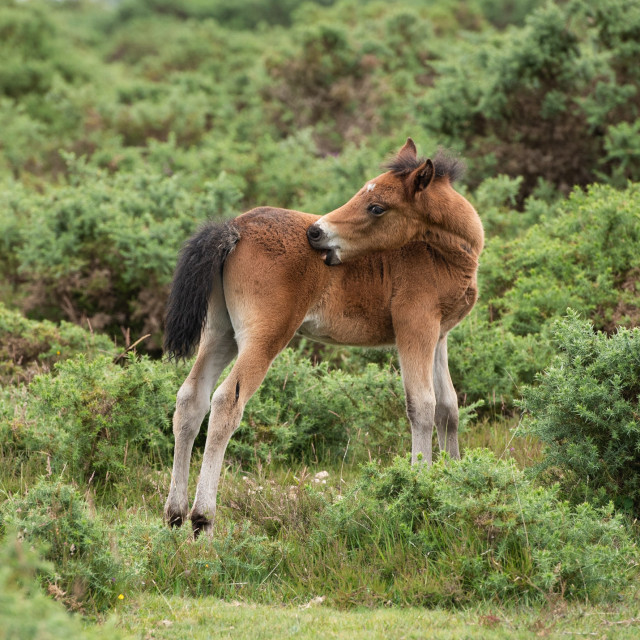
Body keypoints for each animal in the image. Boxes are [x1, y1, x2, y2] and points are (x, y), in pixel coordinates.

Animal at [162, 140, 482, 536]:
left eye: (376, 206)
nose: (316, 233)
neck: (441, 252)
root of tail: (234, 227)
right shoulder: (415, 324)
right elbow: (421, 405)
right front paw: (419, 486)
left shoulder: (439, 335)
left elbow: (448, 408)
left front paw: (454, 480)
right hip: (265, 336)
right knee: (226, 402)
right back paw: (202, 518)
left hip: (221, 333)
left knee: (191, 399)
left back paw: (174, 514)